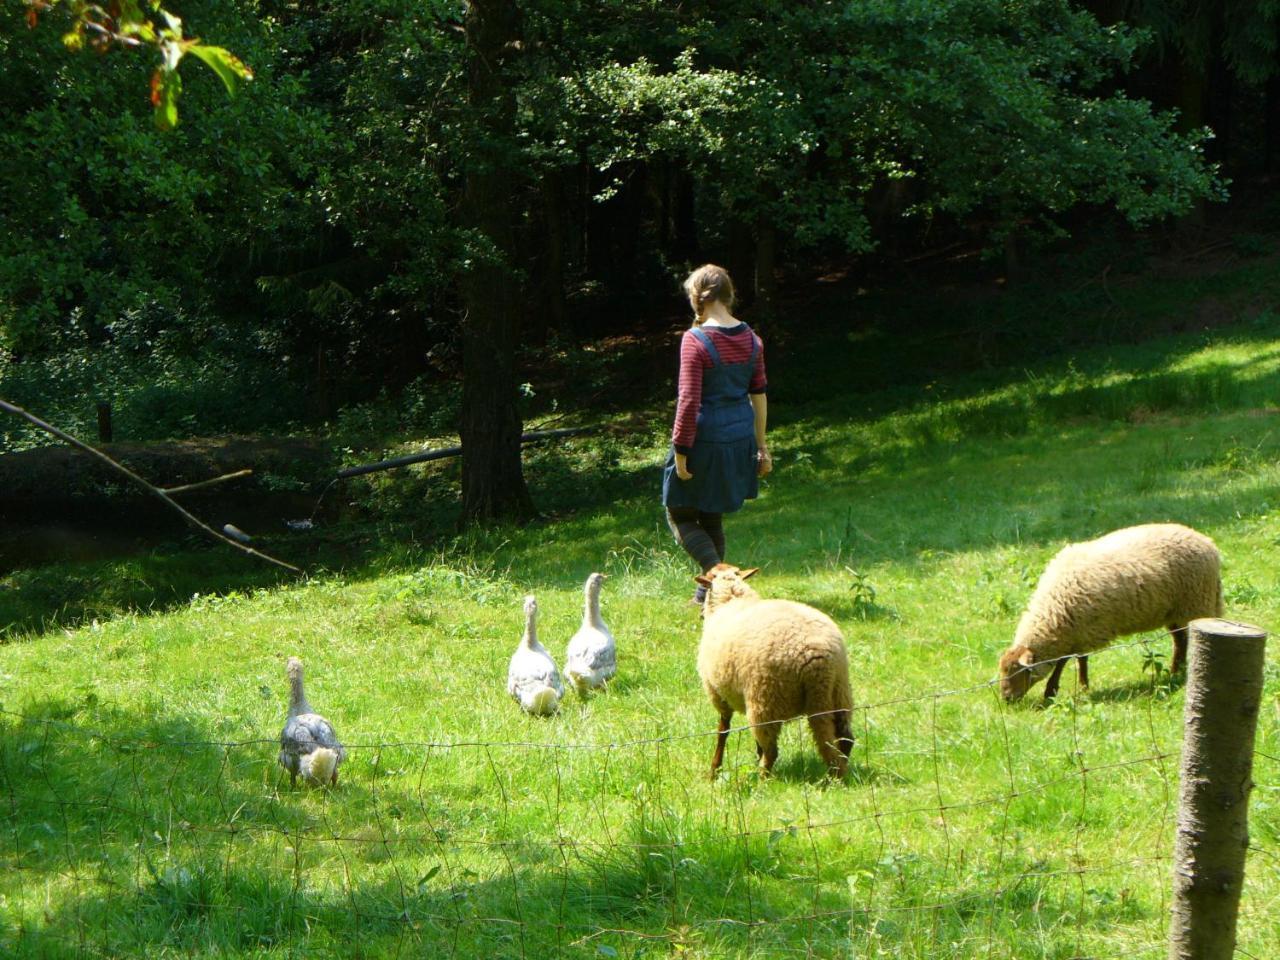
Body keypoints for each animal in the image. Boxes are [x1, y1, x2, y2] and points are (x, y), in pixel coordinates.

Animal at [696, 563, 855, 783]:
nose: (700, 614)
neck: (731, 600)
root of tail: (817, 654)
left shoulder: (719, 695)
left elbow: (723, 731)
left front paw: (714, 770)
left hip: (764, 698)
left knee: (772, 750)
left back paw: (762, 779)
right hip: (839, 693)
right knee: (846, 738)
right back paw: (840, 775)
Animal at [993, 522, 1223, 701]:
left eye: (1019, 671)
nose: (1006, 699)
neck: (1053, 609)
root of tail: (1208, 543)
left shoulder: (1081, 631)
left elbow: (1065, 661)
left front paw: (1054, 690)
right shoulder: (1077, 631)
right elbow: (1079, 660)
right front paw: (1082, 686)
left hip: (1195, 603)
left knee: (1187, 639)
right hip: (1175, 610)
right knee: (1180, 641)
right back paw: (1175, 672)